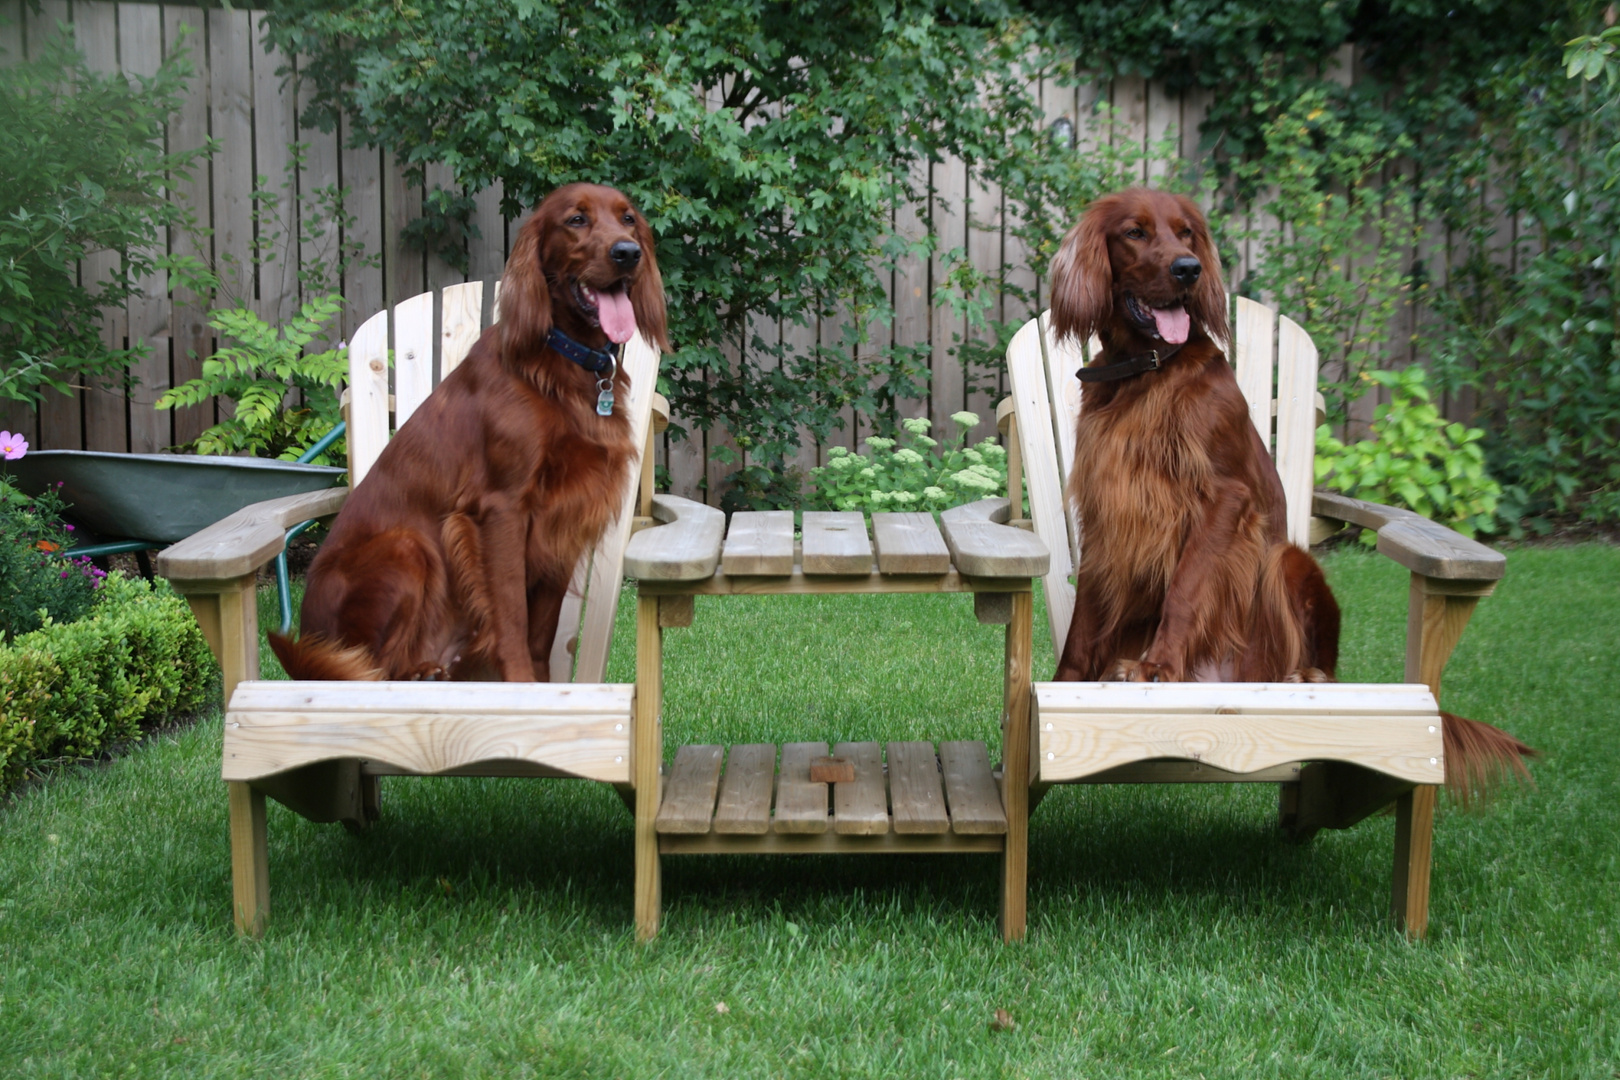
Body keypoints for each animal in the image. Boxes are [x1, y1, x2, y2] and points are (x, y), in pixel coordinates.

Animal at [275, 181, 667, 680]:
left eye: (628, 218)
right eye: (576, 220)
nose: (627, 253)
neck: (563, 364)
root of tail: (308, 645)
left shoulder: (566, 511)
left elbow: (542, 630)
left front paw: (543, 685)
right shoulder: (501, 509)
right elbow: (512, 616)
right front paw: (520, 682)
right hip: (408, 546)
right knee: (369, 672)